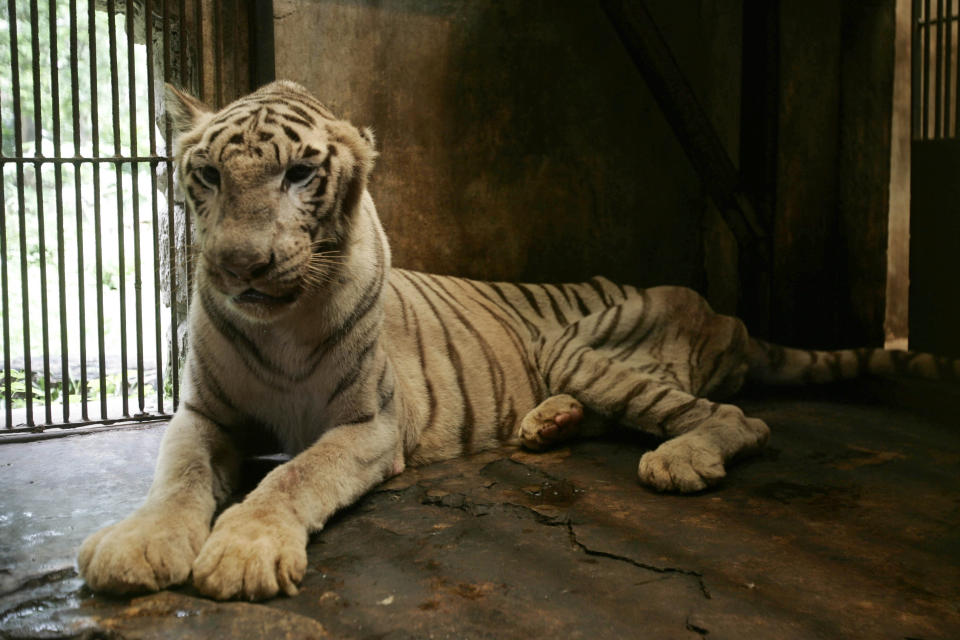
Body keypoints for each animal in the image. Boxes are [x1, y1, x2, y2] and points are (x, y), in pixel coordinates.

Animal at [77, 80, 960, 600]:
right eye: (208, 176)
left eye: (299, 175)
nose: (239, 266)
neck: (282, 321)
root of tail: (731, 318)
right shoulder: (204, 412)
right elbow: (179, 476)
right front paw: (139, 544)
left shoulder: (369, 425)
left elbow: (295, 476)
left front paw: (243, 551)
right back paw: (547, 423)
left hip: (578, 342)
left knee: (734, 418)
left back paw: (676, 458)